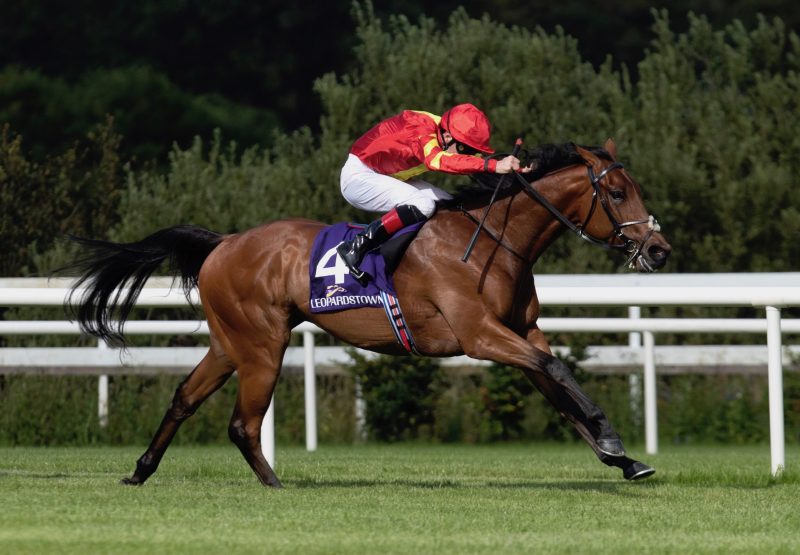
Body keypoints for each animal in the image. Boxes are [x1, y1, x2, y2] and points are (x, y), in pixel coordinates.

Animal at [67, 140, 668, 490]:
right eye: (618, 193)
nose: (659, 250)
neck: (496, 241)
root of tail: (224, 242)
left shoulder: (522, 332)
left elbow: (559, 389)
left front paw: (623, 458)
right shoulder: (481, 335)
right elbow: (559, 372)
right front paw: (613, 442)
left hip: (228, 342)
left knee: (184, 399)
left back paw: (141, 471)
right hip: (262, 344)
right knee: (243, 423)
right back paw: (274, 484)